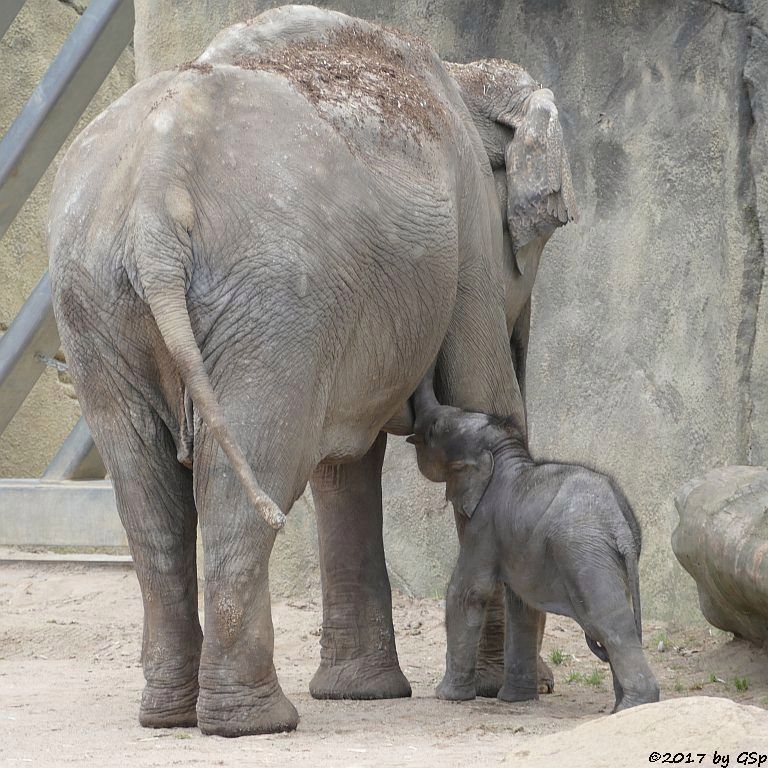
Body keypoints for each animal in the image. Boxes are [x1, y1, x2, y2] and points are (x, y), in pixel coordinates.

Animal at [48, 6, 572, 736]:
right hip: (267, 294)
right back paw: (255, 721)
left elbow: (344, 467)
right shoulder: (467, 233)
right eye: (541, 236)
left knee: (146, 492)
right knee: (248, 472)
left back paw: (171, 716)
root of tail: (156, 193)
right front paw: (507, 688)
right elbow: (484, 403)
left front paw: (361, 694)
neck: (463, 75)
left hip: (96, 294)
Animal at [408, 368, 660, 712]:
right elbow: (521, 606)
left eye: (434, 430)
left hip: (586, 555)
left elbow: (470, 592)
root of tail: (618, 523)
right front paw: (515, 699)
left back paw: (632, 708)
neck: (504, 452)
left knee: (610, 623)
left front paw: (445, 696)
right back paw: (622, 707)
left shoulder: (484, 524)